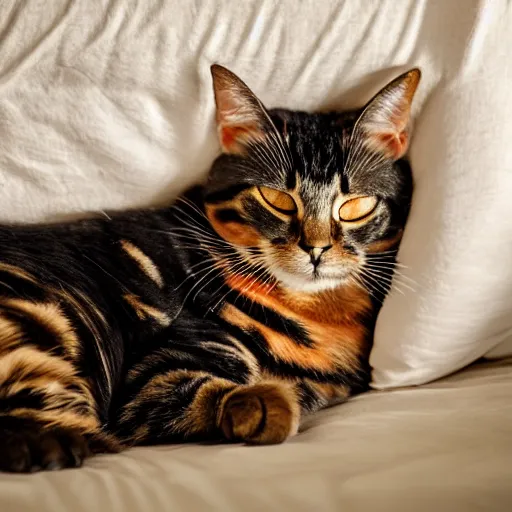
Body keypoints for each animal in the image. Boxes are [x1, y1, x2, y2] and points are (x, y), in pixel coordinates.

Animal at [0, 64, 418, 472]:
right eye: (276, 199)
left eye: (355, 205)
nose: (315, 249)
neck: (320, 313)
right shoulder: (153, 377)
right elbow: (218, 395)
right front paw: (272, 405)